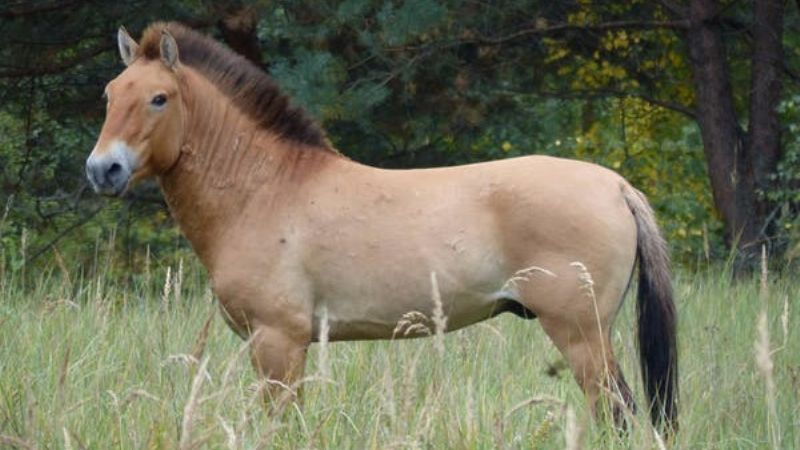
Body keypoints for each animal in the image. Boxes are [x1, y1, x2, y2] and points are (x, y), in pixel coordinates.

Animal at [85, 22, 677, 430]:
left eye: (159, 98)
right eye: (110, 95)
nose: (102, 170)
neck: (265, 189)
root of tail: (615, 187)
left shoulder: (279, 343)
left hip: (582, 336)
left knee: (619, 415)